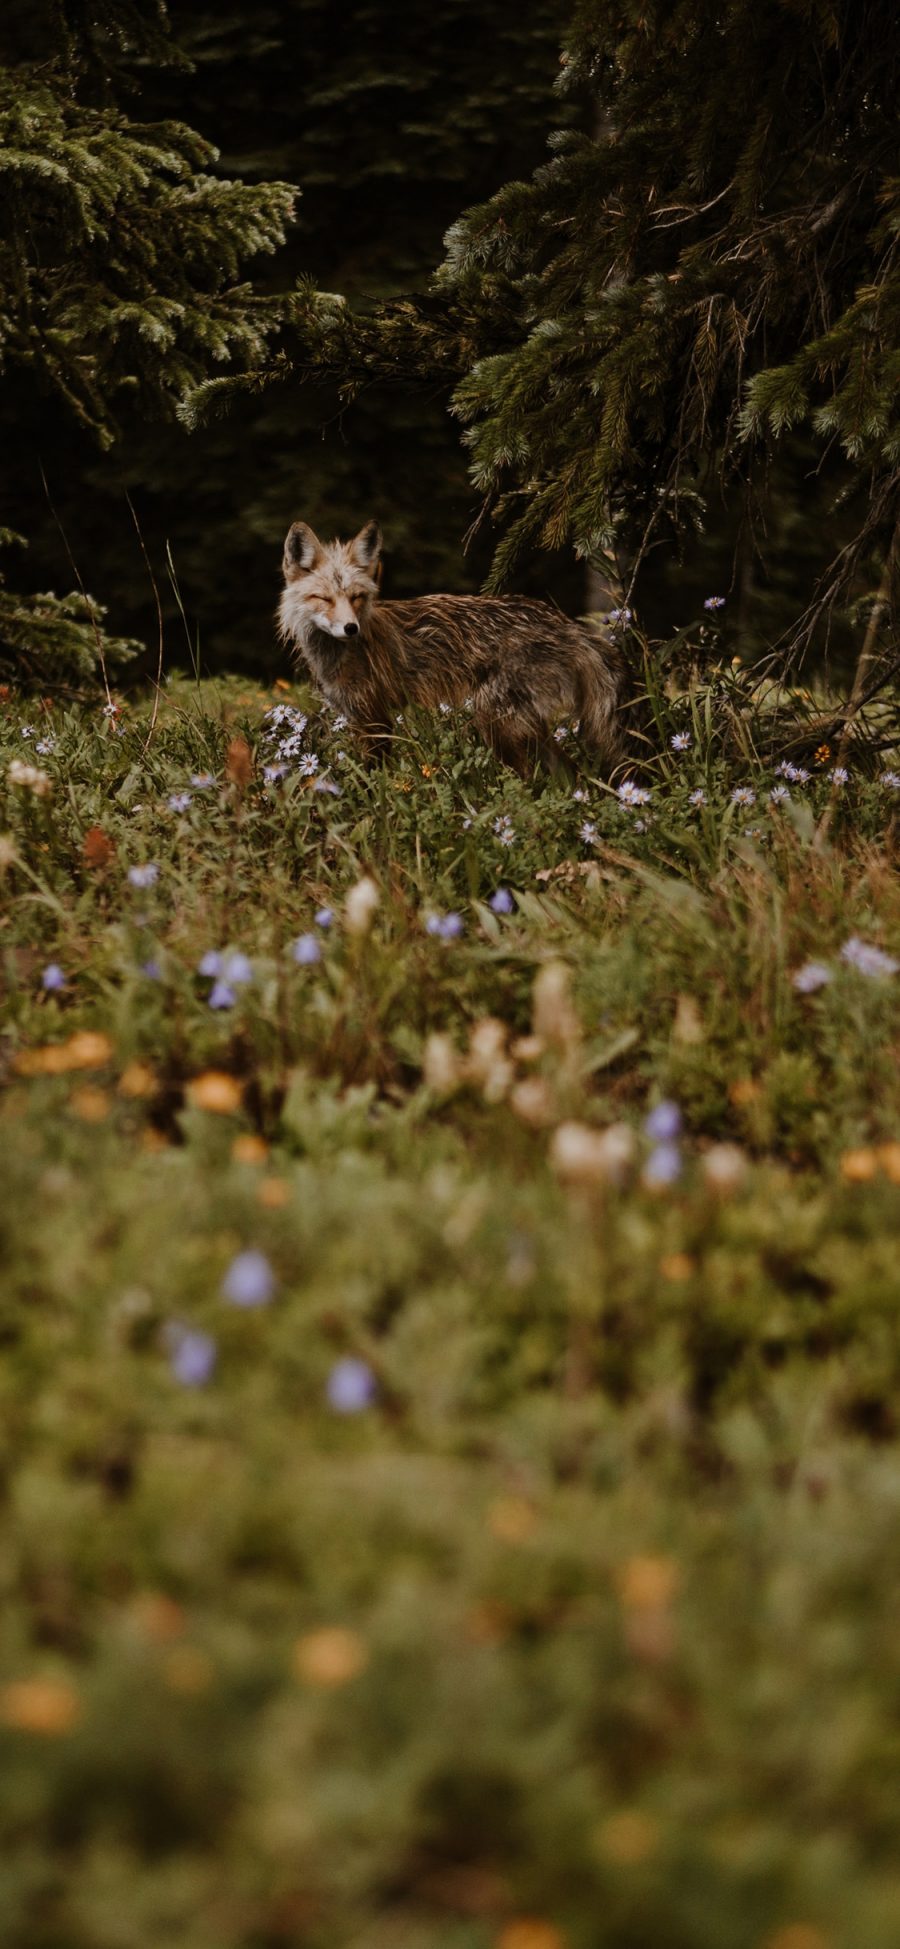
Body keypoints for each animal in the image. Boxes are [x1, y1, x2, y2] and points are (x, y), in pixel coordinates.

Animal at [278, 518, 627, 775]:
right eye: (323, 599)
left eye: (356, 597)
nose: (351, 628)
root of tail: (566, 623)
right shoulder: (361, 717)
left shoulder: (375, 718)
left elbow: (375, 781)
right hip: (526, 728)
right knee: (570, 775)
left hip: (496, 722)